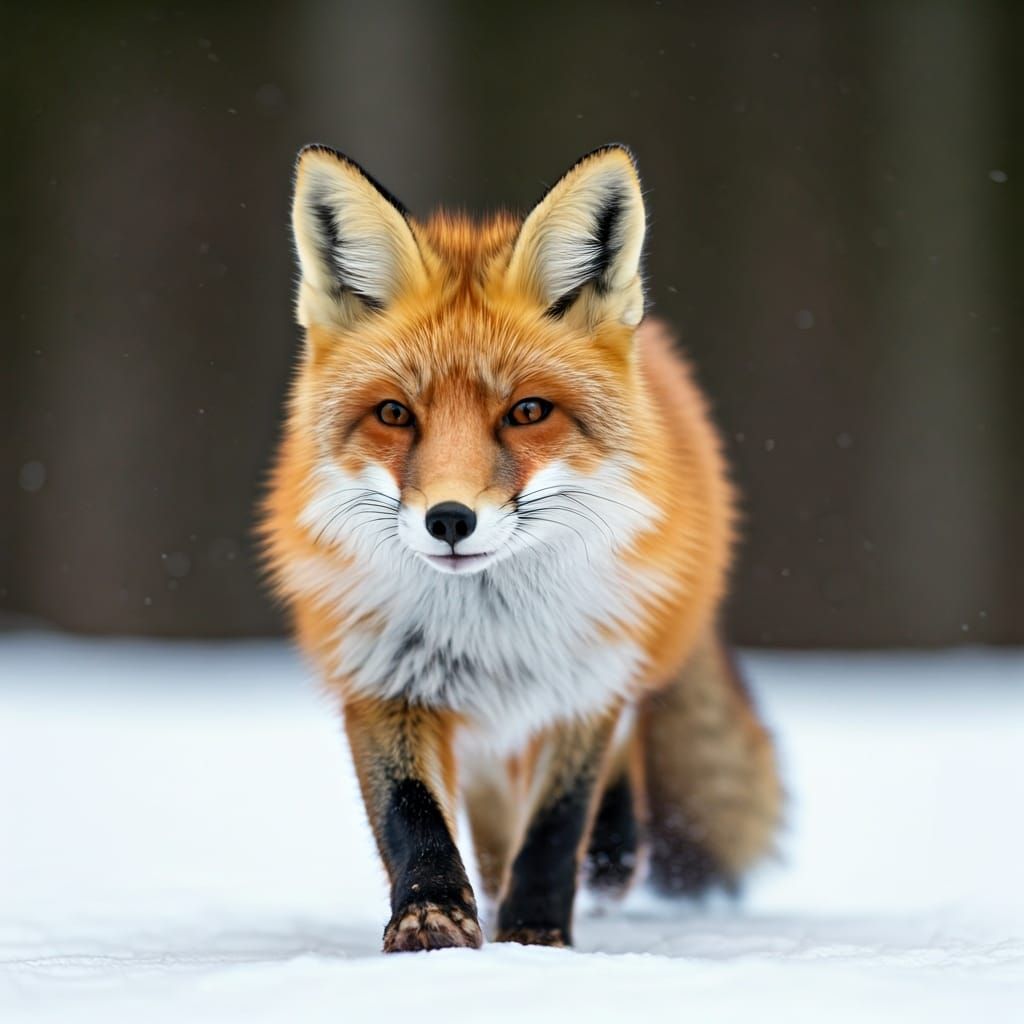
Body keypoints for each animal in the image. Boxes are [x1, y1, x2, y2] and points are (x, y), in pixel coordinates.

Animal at [262, 143, 782, 953]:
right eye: (394, 415)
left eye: (528, 412)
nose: (448, 519)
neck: (491, 630)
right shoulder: (381, 676)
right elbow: (411, 815)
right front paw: (431, 917)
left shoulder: (587, 681)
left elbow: (558, 822)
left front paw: (537, 935)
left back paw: (609, 854)